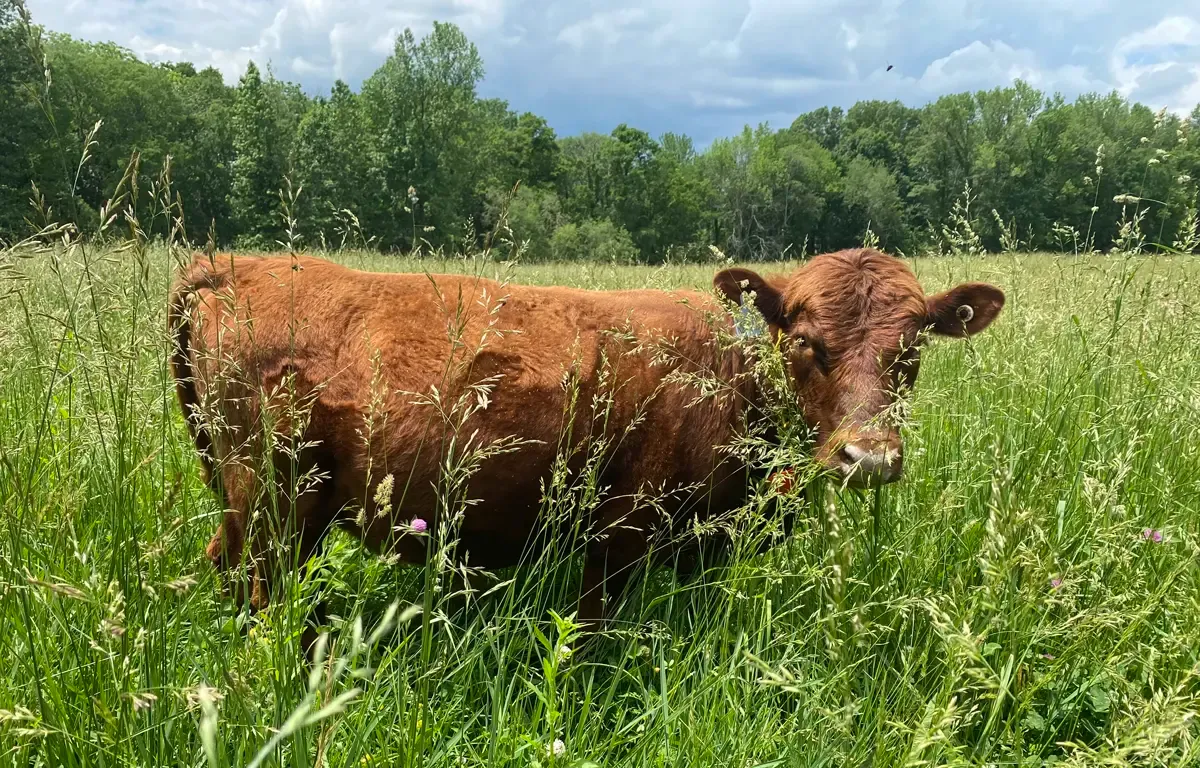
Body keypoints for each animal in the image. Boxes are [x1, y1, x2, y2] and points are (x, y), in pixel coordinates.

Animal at [168, 248, 1004, 647]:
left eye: (912, 349)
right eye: (804, 343)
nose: (870, 457)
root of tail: (236, 266)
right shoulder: (619, 532)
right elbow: (592, 634)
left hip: (249, 500)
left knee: (226, 565)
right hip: (276, 500)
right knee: (267, 591)